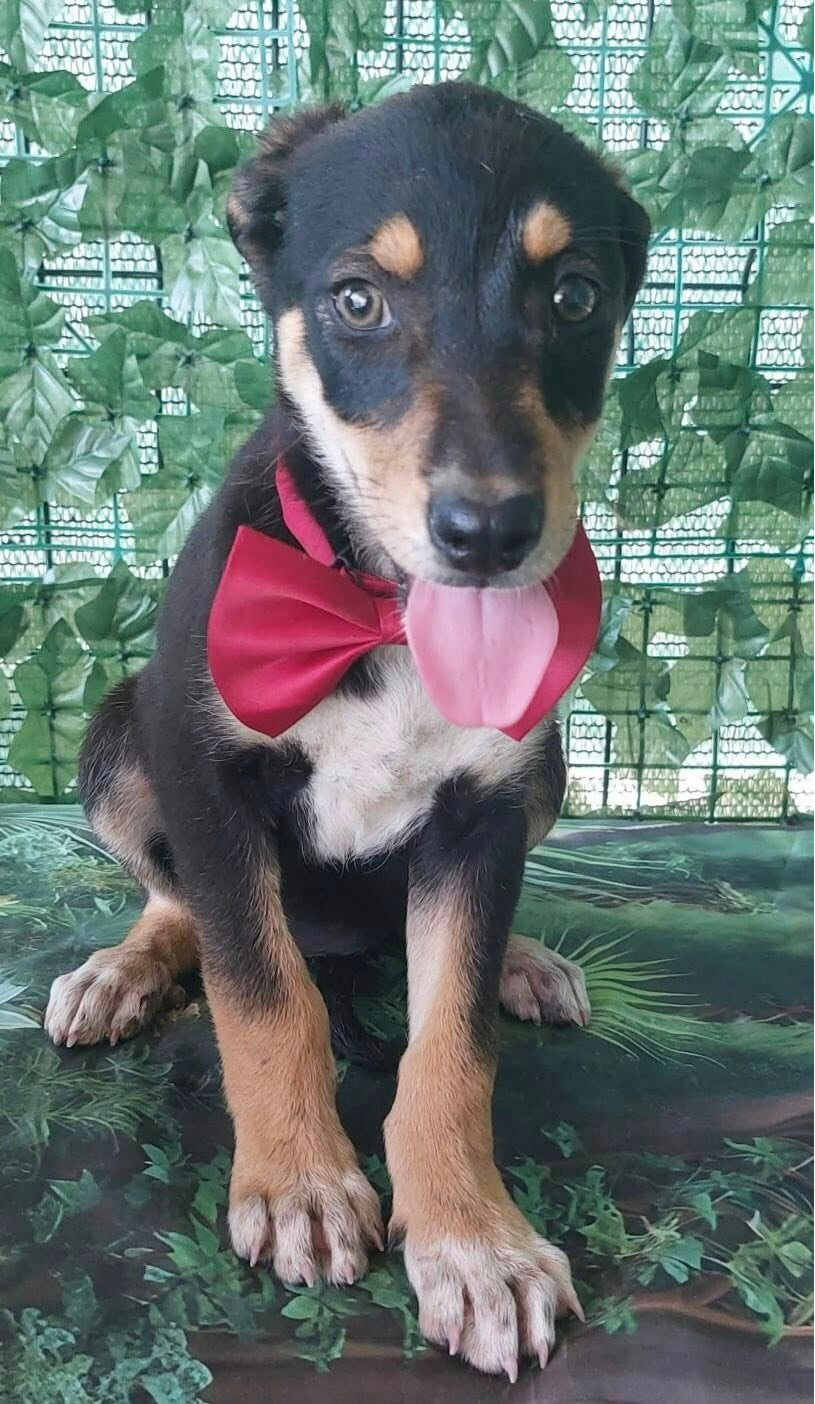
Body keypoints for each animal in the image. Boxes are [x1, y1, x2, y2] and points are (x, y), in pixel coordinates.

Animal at [44, 83, 649, 1379]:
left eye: (573, 296)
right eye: (358, 300)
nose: (488, 531)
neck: (376, 613)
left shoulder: (486, 814)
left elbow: (450, 1044)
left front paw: (473, 1240)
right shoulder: (208, 782)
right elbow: (264, 995)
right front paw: (301, 1184)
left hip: (549, 771)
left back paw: (522, 958)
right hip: (118, 735)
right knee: (180, 904)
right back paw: (126, 969)